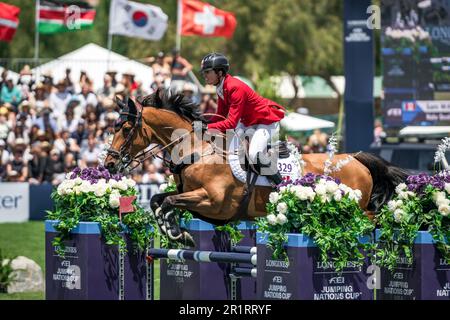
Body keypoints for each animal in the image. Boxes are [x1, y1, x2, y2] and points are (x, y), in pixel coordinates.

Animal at [104, 89, 408, 246]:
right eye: (113, 127)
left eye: (126, 129)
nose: (109, 164)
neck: (197, 152)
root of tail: (356, 159)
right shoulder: (195, 200)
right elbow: (158, 200)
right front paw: (178, 233)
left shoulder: (213, 202)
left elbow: (168, 203)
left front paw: (178, 233)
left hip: (358, 206)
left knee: (372, 221)